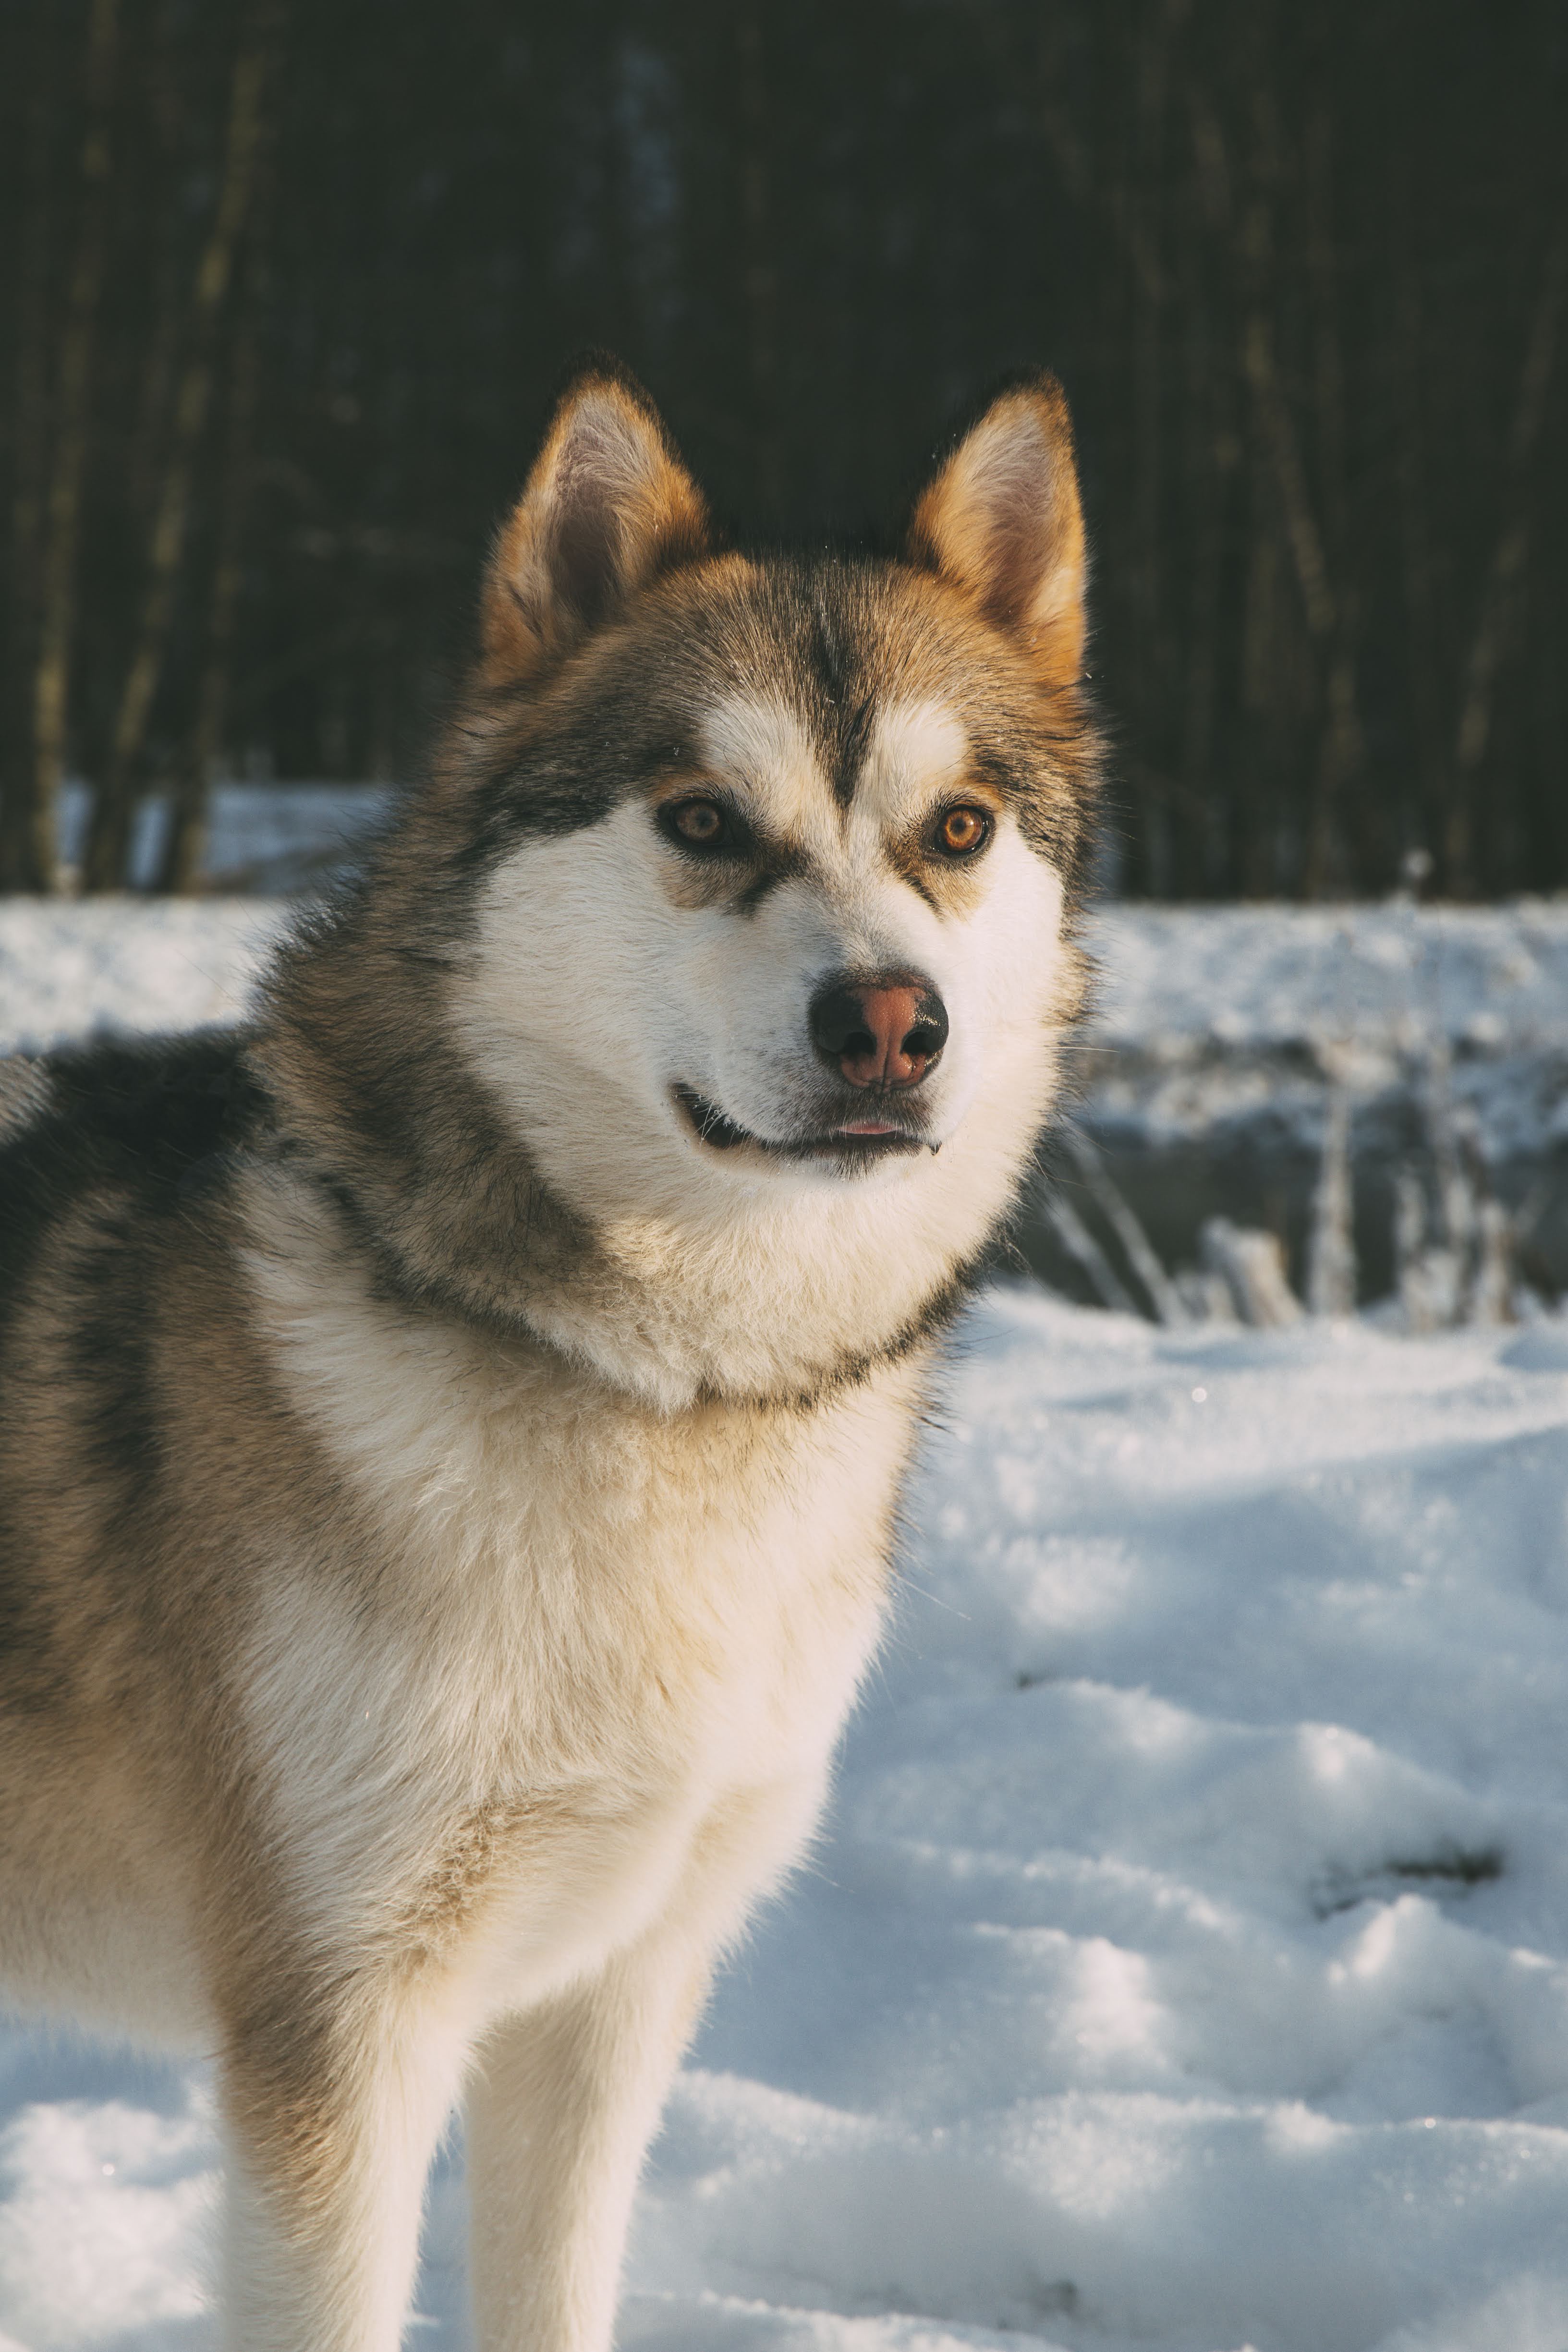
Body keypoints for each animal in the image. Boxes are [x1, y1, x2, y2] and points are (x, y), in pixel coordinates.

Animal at [0, 357, 1105, 2342]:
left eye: (958, 830)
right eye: (702, 822)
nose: (887, 1023)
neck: (649, 1391)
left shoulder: (609, 1997)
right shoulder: (338, 2027)